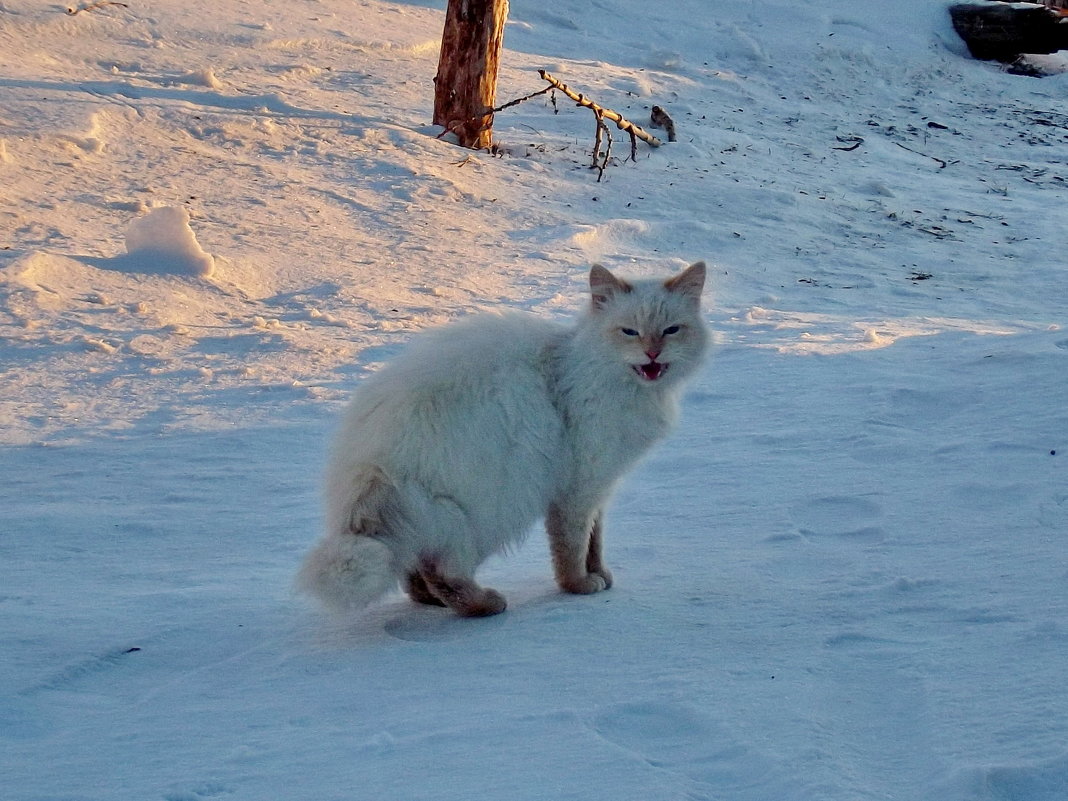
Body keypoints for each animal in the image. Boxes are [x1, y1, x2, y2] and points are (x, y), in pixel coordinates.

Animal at [296, 263, 709, 619]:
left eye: (671, 330)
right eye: (629, 332)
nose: (652, 352)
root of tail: (368, 467)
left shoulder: (599, 488)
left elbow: (595, 542)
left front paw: (601, 575)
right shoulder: (578, 489)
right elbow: (572, 549)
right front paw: (580, 586)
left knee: (416, 575)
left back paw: (437, 601)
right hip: (486, 509)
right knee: (441, 573)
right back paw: (487, 604)